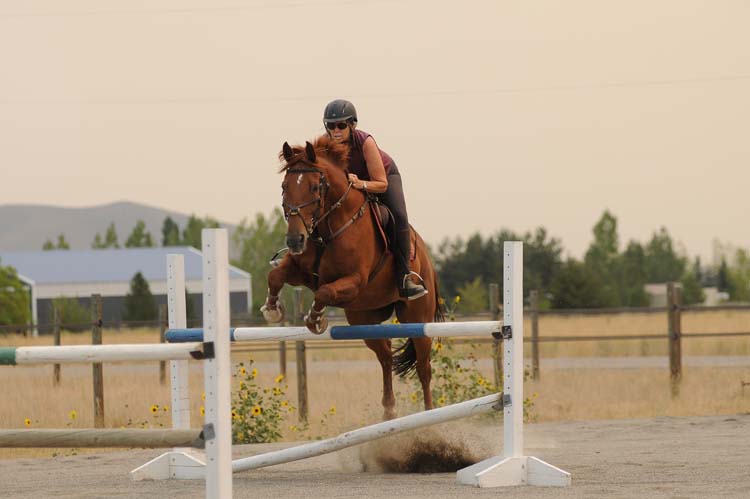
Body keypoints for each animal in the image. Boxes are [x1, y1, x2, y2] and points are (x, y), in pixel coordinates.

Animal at [262, 136, 444, 418]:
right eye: (284, 187)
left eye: (314, 188)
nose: (295, 240)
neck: (326, 227)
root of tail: (427, 257)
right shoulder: (300, 271)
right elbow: (275, 275)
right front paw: (272, 309)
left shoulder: (355, 281)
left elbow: (324, 292)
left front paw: (315, 319)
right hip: (364, 317)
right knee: (385, 355)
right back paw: (389, 412)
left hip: (417, 318)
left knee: (424, 368)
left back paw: (429, 416)